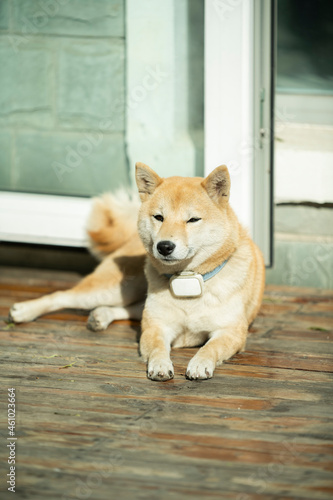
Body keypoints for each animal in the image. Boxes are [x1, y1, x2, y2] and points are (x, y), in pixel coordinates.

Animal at [7, 162, 264, 380]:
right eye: (159, 217)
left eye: (192, 220)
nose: (164, 246)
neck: (187, 281)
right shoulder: (157, 326)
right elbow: (157, 347)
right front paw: (160, 365)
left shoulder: (231, 331)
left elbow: (210, 347)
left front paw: (200, 363)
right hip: (115, 288)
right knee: (63, 296)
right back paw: (24, 311)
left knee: (132, 309)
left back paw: (101, 316)